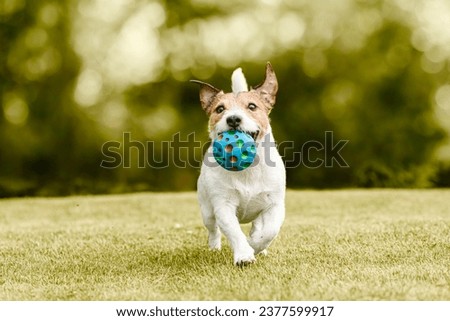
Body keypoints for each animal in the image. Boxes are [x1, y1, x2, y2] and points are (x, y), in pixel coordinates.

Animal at [192, 62, 284, 264]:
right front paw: (244, 254)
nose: (233, 118)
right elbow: (233, 231)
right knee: (213, 229)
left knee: (258, 225)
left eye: (252, 106)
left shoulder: (274, 204)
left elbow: (269, 231)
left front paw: (255, 245)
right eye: (220, 109)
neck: (248, 170)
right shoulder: (223, 205)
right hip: (206, 209)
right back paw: (214, 248)